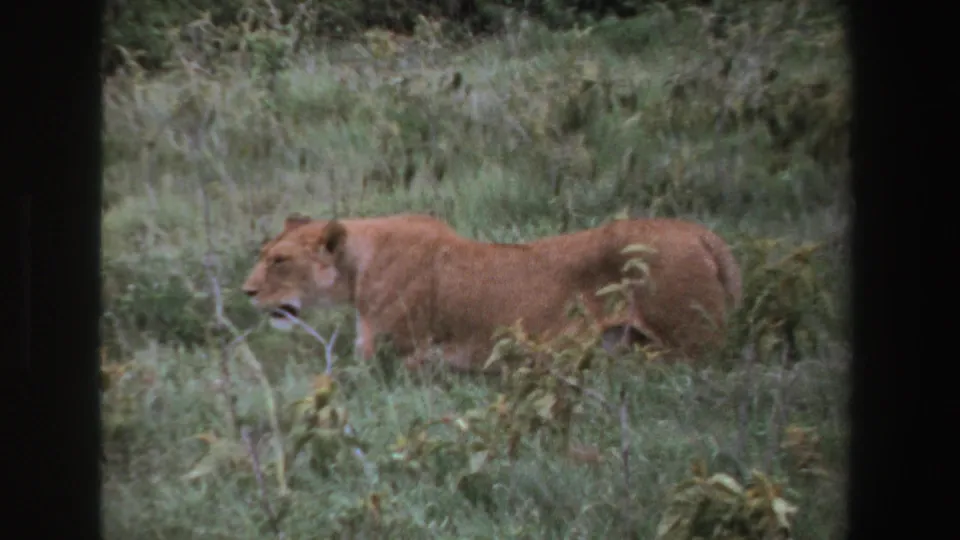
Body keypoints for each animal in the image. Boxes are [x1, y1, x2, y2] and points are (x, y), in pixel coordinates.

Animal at [241, 213, 741, 373]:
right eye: (263, 253)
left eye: (279, 260)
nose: (246, 292)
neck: (358, 264)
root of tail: (701, 234)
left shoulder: (387, 358)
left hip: (691, 345)